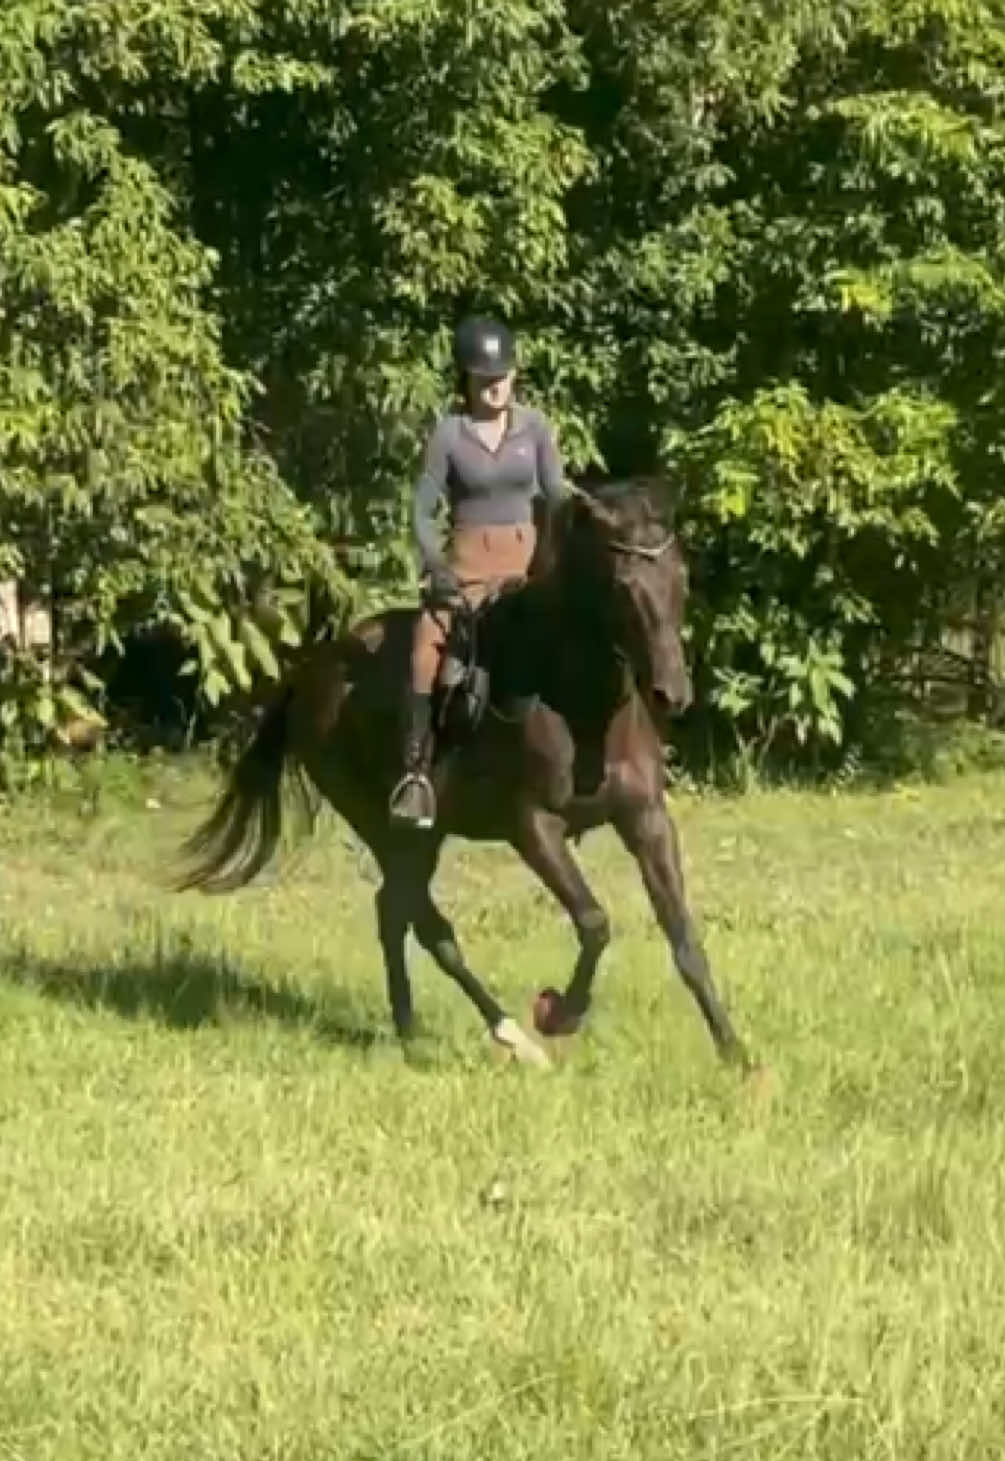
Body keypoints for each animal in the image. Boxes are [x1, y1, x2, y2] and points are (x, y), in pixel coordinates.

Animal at [177, 477, 749, 1072]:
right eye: (623, 585)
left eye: (680, 576)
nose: (671, 694)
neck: (578, 707)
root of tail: (311, 672)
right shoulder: (533, 827)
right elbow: (594, 922)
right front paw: (556, 1013)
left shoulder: (646, 819)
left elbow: (683, 936)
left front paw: (736, 1053)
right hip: (386, 827)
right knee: (421, 920)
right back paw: (500, 1035)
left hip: (423, 837)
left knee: (395, 911)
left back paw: (417, 1029)